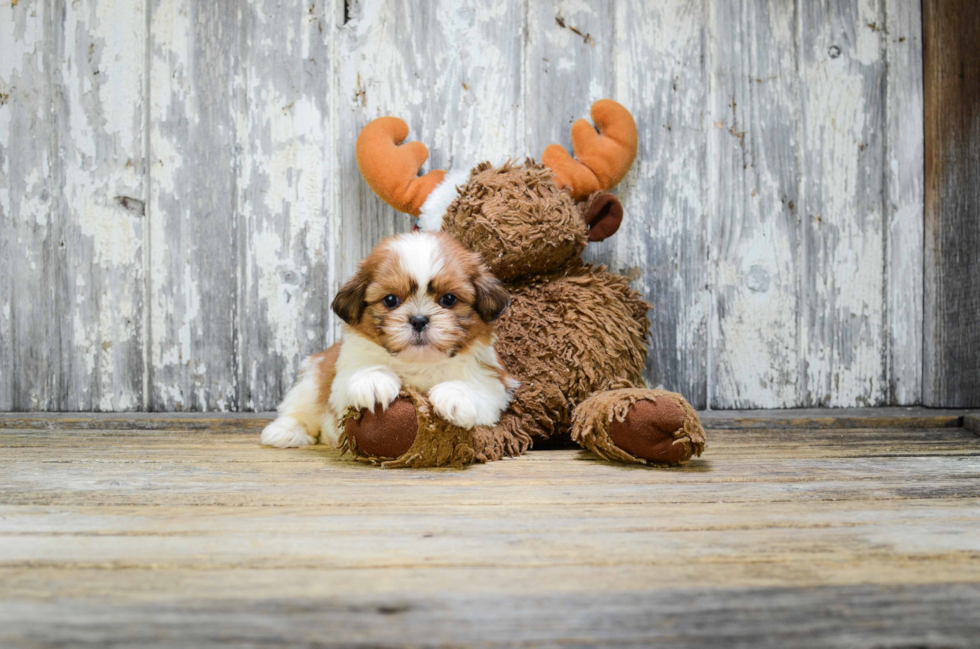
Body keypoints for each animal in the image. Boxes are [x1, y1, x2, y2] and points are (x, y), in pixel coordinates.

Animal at [260, 230, 520, 448]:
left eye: (448, 299)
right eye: (391, 300)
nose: (418, 319)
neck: (418, 363)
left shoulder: (494, 383)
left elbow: (479, 390)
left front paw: (455, 395)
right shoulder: (341, 382)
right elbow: (357, 377)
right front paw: (373, 381)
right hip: (312, 379)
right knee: (299, 408)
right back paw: (286, 431)